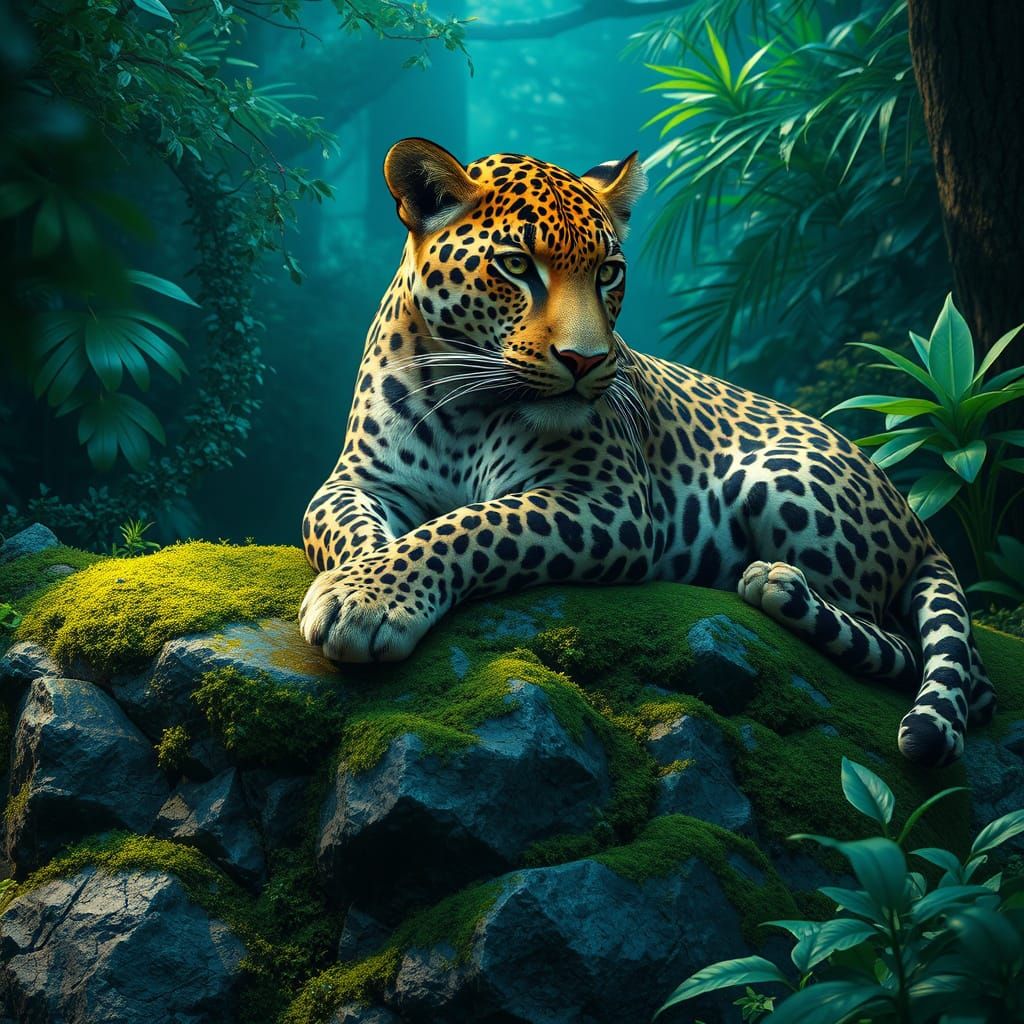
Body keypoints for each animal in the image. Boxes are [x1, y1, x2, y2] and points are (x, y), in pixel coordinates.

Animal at [299, 136, 996, 768]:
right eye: (518, 266)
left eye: (608, 272)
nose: (586, 361)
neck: (465, 401)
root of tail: (917, 519)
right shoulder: (357, 482)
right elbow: (352, 530)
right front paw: (361, 583)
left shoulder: (612, 502)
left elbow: (473, 526)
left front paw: (369, 598)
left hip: (783, 478)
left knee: (923, 656)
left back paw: (779, 587)